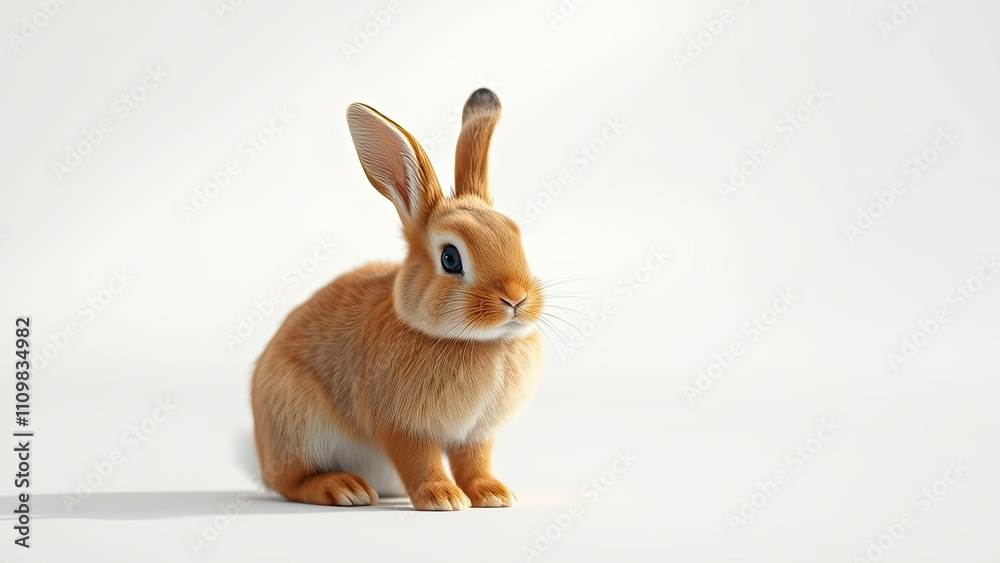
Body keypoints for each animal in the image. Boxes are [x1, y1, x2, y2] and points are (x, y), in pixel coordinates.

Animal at [251, 88, 544, 511]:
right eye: (450, 258)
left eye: (516, 236)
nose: (516, 299)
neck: (477, 342)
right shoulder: (403, 426)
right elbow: (419, 460)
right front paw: (442, 498)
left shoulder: (476, 433)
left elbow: (474, 461)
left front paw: (493, 494)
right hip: (296, 423)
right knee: (292, 482)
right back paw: (345, 488)